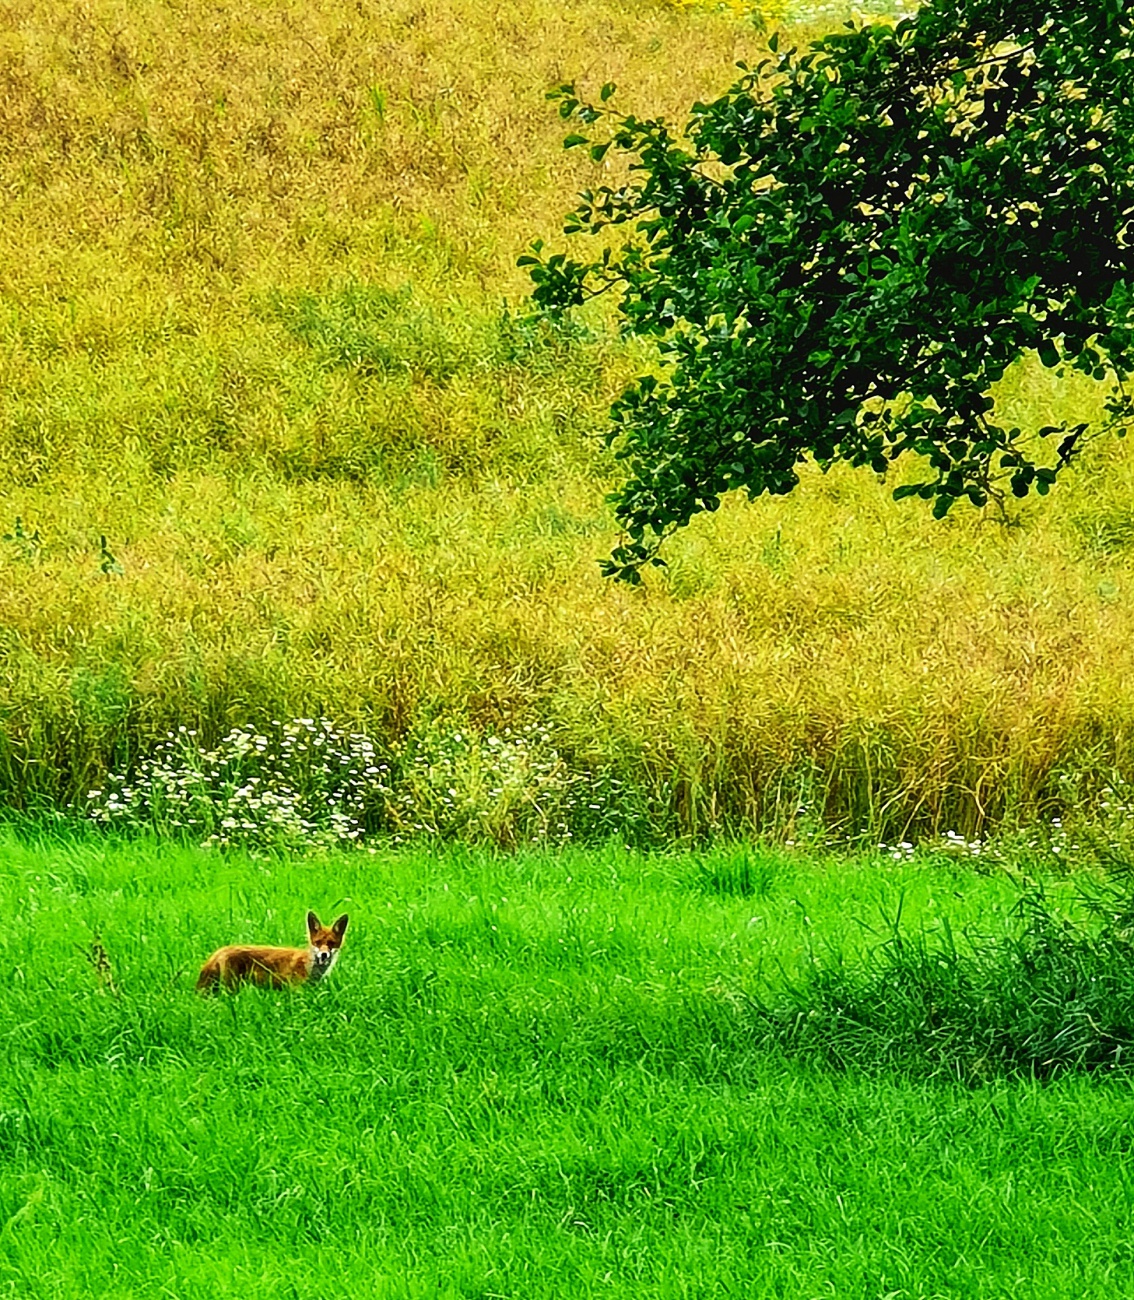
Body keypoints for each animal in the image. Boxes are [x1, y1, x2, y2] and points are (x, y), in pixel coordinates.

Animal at [197, 915, 351, 993]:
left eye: (331, 943)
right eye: (318, 942)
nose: (324, 955)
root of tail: (219, 951)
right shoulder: (295, 989)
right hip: (231, 987)